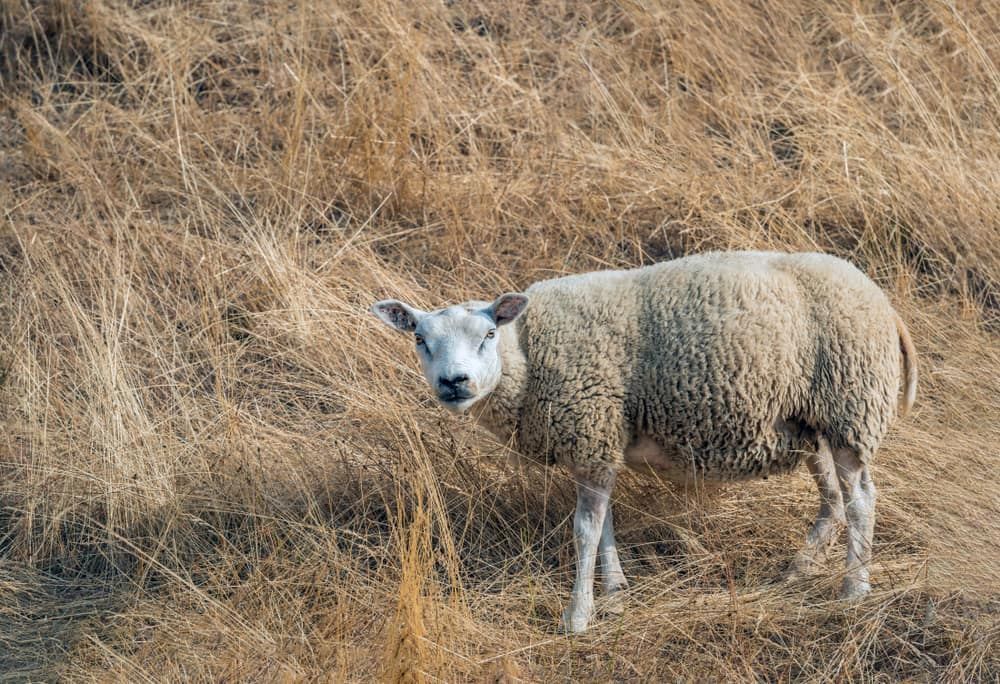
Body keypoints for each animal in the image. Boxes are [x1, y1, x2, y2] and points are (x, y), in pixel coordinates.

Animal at [371, 250, 917, 633]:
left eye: (487, 334)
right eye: (419, 339)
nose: (455, 382)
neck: (525, 357)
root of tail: (883, 303)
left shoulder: (591, 426)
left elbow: (584, 530)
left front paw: (578, 616)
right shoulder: (599, 440)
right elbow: (605, 523)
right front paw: (614, 590)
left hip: (850, 406)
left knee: (861, 500)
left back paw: (854, 587)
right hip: (809, 423)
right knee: (834, 500)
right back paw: (801, 568)